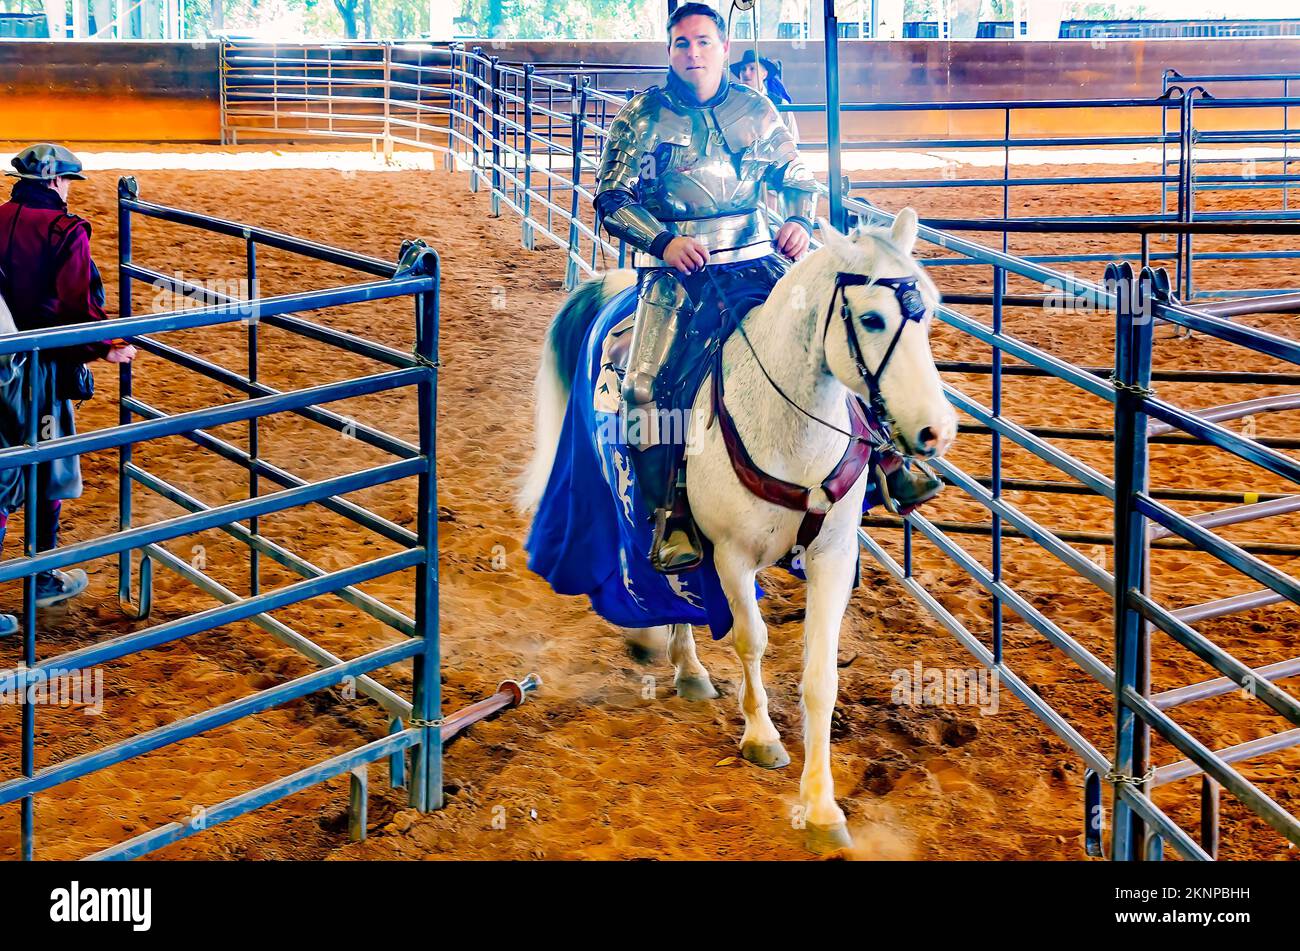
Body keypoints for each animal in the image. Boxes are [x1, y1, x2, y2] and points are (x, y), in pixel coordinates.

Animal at [517, 211, 956, 852]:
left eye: (931, 309)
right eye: (872, 318)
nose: (935, 431)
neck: (790, 427)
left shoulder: (832, 558)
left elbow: (821, 678)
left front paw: (821, 807)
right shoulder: (732, 555)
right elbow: (751, 640)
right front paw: (761, 738)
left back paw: (687, 666)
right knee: (649, 564)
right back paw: (666, 649)